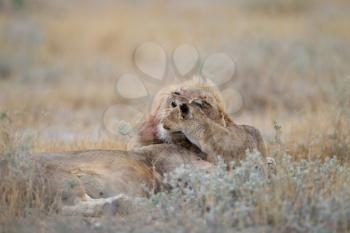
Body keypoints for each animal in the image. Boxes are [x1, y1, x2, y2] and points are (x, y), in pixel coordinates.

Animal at [28, 80, 274, 217]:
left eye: (201, 101)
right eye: (178, 92)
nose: (175, 101)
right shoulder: (188, 170)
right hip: (62, 178)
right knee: (68, 207)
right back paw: (125, 203)